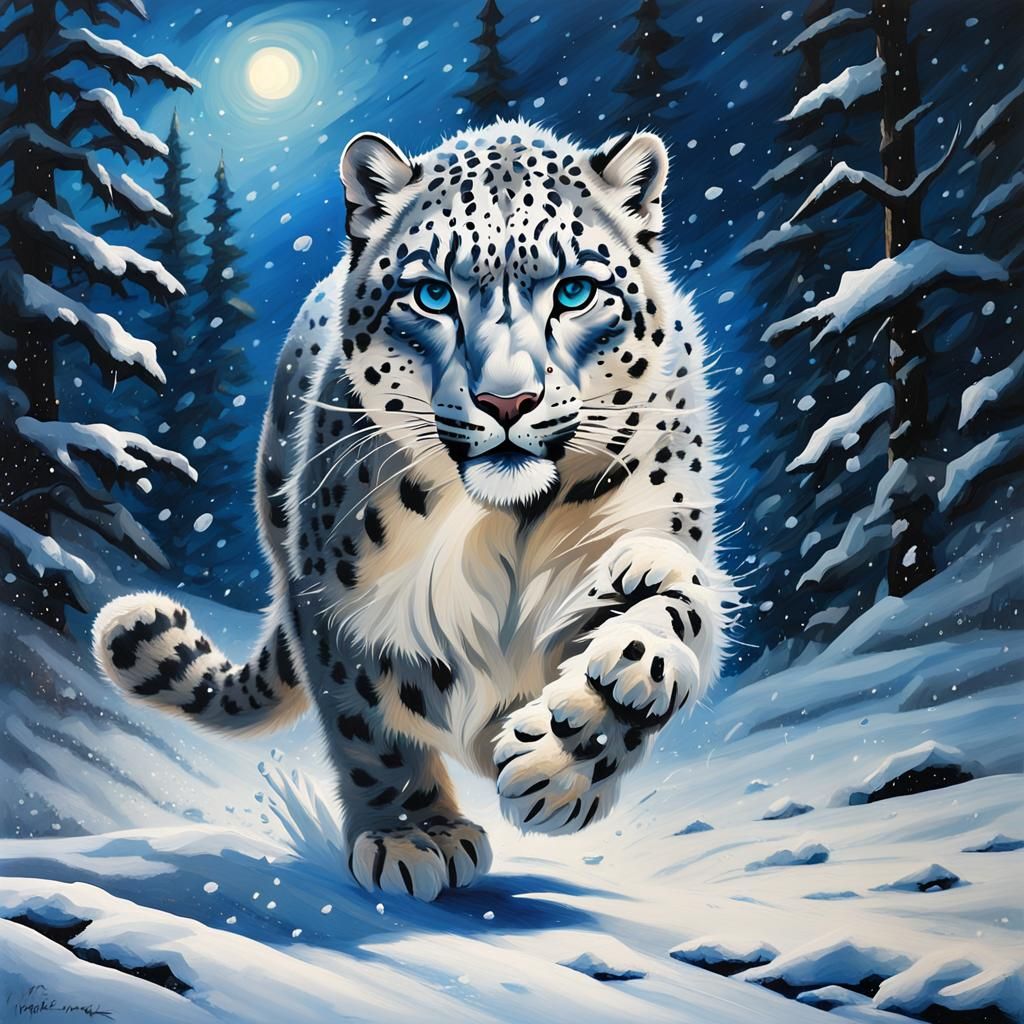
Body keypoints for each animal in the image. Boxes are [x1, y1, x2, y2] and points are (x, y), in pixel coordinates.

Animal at [93, 119, 736, 902]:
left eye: (577, 290)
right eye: (432, 295)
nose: (507, 402)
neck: (506, 526)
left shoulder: (665, 532)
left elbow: (677, 604)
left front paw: (571, 749)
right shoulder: (336, 602)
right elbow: (369, 725)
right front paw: (412, 835)